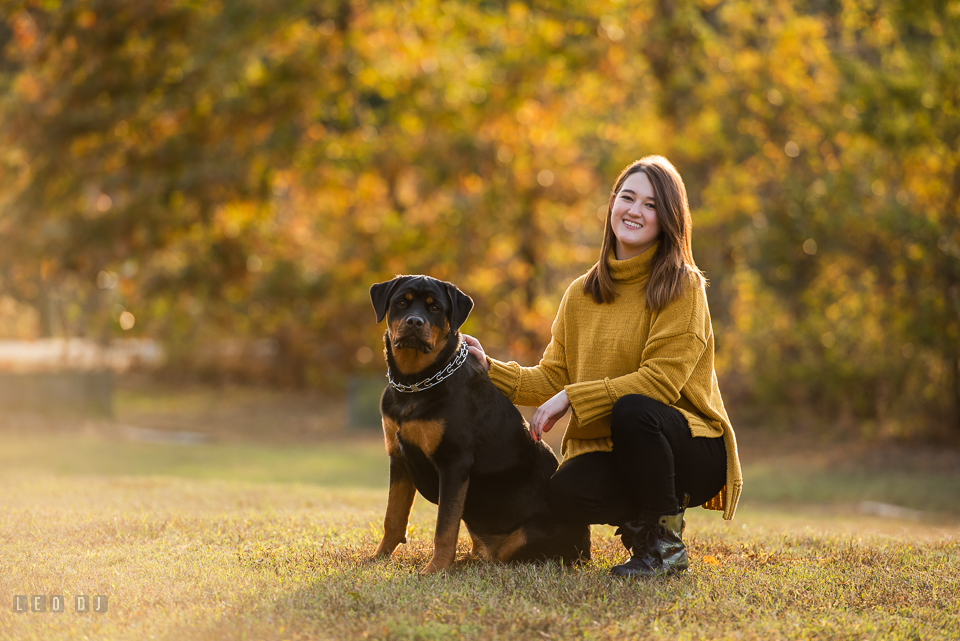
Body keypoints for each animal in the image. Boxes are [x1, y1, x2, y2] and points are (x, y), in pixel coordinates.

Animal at [370, 272, 588, 572]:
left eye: (435, 308)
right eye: (402, 302)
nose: (415, 321)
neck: (414, 384)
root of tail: (587, 549)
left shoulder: (454, 462)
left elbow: (445, 527)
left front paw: (435, 569)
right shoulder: (399, 457)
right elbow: (393, 517)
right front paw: (377, 558)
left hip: (527, 535)